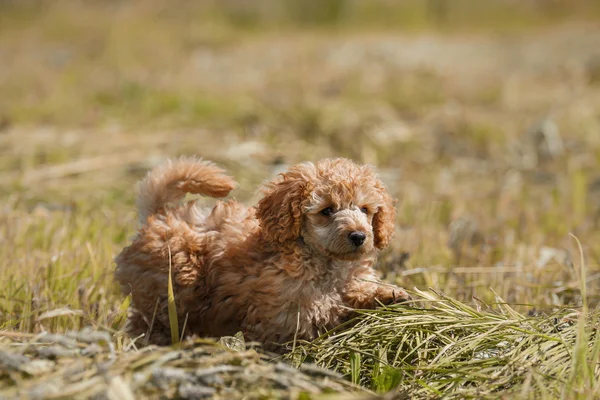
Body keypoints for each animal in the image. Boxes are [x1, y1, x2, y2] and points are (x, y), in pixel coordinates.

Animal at [115, 156, 410, 350]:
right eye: (327, 210)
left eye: (365, 209)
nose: (359, 236)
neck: (324, 260)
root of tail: (159, 216)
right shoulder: (283, 310)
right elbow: (317, 313)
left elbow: (356, 290)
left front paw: (389, 294)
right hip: (169, 289)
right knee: (150, 323)